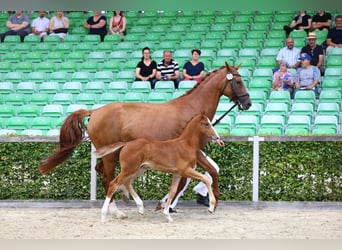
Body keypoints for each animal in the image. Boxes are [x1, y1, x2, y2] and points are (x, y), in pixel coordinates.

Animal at [38, 62, 251, 209]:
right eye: (238, 81)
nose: (248, 103)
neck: (192, 111)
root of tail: (95, 111)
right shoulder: (192, 153)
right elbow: (190, 178)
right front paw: (166, 205)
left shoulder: (194, 153)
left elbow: (212, 171)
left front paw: (209, 198)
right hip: (110, 155)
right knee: (108, 178)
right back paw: (116, 208)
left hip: (110, 154)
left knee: (103, 173)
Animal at [94, 114, 222, 222]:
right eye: (206, 124)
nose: (217, 138)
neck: (185, 145)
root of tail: (126, 144)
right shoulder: (185, 171)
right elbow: (206, 180)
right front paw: (211, 207)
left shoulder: (177, 174)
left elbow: (172, 192)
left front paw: (167, 215)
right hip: (129, 169)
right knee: (113, 184)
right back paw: (104, 216)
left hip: (139, 169)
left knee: (127, 182)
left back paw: (141, 208)